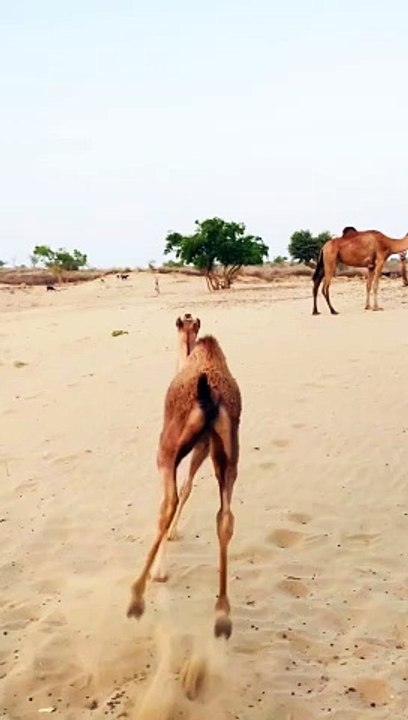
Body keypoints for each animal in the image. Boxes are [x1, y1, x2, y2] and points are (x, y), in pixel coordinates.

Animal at [127, 313, 242, 639]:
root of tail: (210, 398)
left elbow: (177, 495)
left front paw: (161, 571)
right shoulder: (204, 446)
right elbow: (190, 487)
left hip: (166, 447)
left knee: (168, 502)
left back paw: (136, 596)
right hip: (230, 453)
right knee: (225, 517)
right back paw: (222, 615)